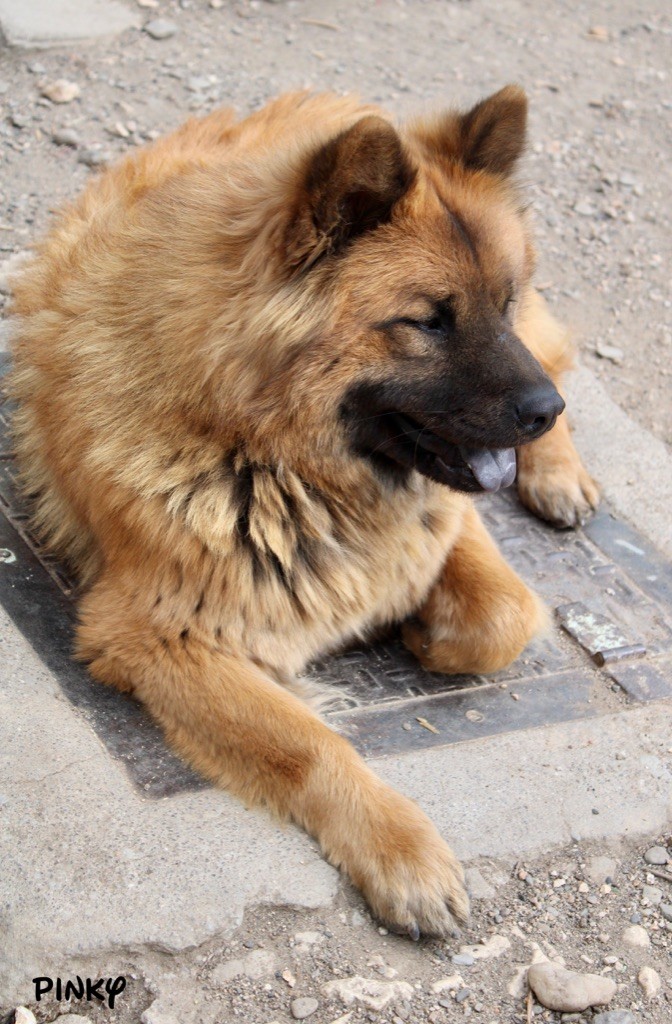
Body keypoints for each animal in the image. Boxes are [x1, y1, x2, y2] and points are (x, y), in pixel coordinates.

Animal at [9, 86, 598, 937]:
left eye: (503, 302)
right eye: (428, 321)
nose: (545, 413)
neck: (267, 449)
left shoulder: (447, 523)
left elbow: (506, 616)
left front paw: (429, 631)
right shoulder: (154, 636)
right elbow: (310, 743)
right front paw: (400, 847)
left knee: (555, 354)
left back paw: (559, 474)